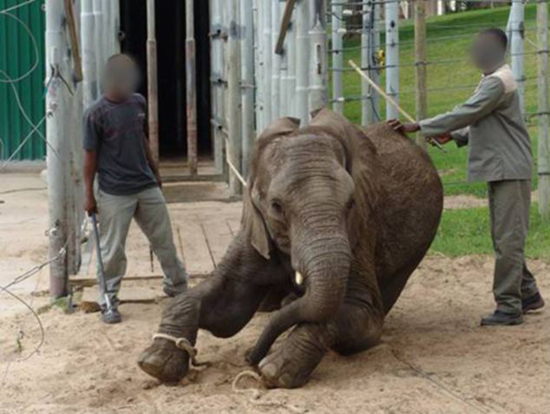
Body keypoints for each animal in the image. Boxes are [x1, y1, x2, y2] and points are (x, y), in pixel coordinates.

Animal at [137, 109, 444, 388]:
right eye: (276, 206)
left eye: (351, 203)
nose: (249, 358)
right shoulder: (256, 229)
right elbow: (225, 309)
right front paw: (155, 364)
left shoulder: (360, 234)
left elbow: (363, 319)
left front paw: (274, 371)